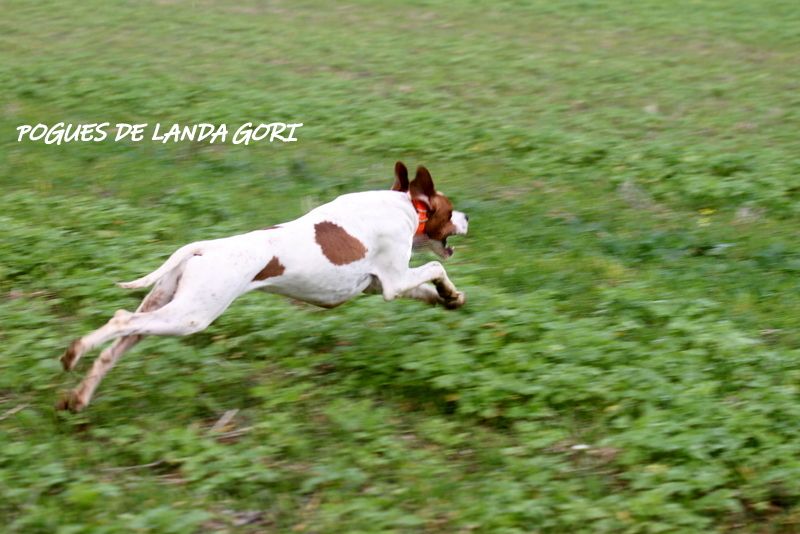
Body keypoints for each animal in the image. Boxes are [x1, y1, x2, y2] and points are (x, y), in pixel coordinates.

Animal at [61, 163, 468, 414]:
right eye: (451, 210)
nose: (467, 217)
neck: (404, 205)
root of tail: (201, 247)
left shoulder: (378, 285)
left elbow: (431, 288)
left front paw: (450, 298)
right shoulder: (393, 281)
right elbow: (435, 266)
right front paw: (450, 291)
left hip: (165, 308)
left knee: (115, 347)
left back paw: (78, 396)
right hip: (190, 316)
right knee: (119, 320)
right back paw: (73, 352)